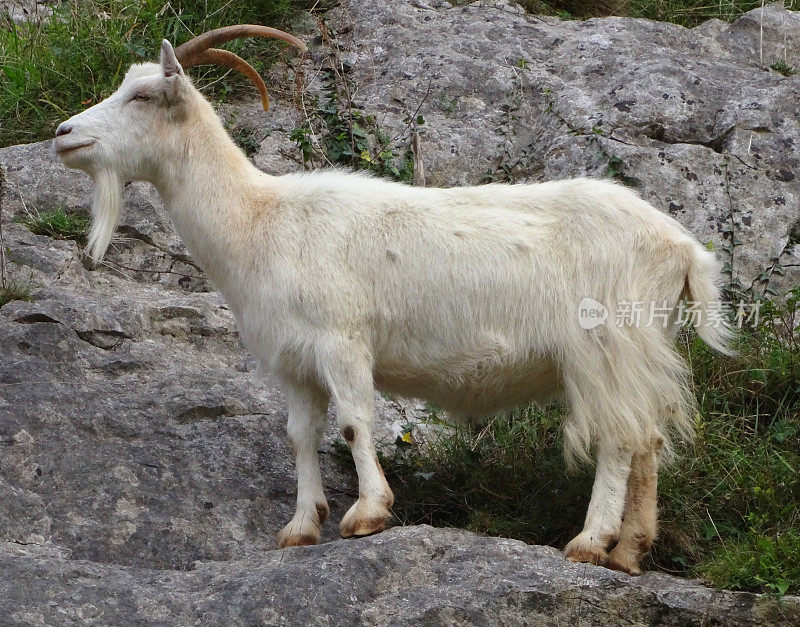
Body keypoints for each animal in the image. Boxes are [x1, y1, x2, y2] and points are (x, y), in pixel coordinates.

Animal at [54, 31, 732, 576]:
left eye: (143, 96)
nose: (63, 135)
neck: (261, 222)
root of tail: (681, 247)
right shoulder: (292, 362)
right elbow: (300, 436)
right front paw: (301, 527)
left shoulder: (342, 340)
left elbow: (355, 421)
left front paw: (367, 514)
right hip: (641, 349)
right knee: (648, 440)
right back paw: (630, 552)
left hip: (605, 345)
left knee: (620, 438)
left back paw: (591, 543)